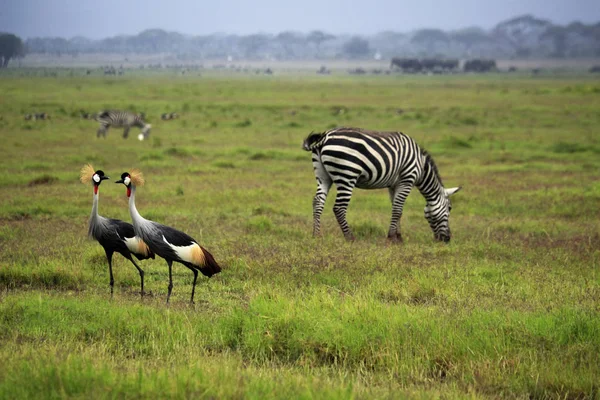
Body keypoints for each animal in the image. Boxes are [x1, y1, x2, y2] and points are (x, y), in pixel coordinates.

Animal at [302, 126, 462, 242]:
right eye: (450, 208)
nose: (447, 239)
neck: (421, 167)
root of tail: (324, 137)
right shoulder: (407, 180)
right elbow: (397, 210)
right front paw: (391, 238)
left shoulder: (394, 185)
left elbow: (397, 209)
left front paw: (398, 236)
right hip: (347, 174)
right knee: (339, 208)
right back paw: (350, 237)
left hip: (323, 176)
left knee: (318, 201)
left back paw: (316, 235)